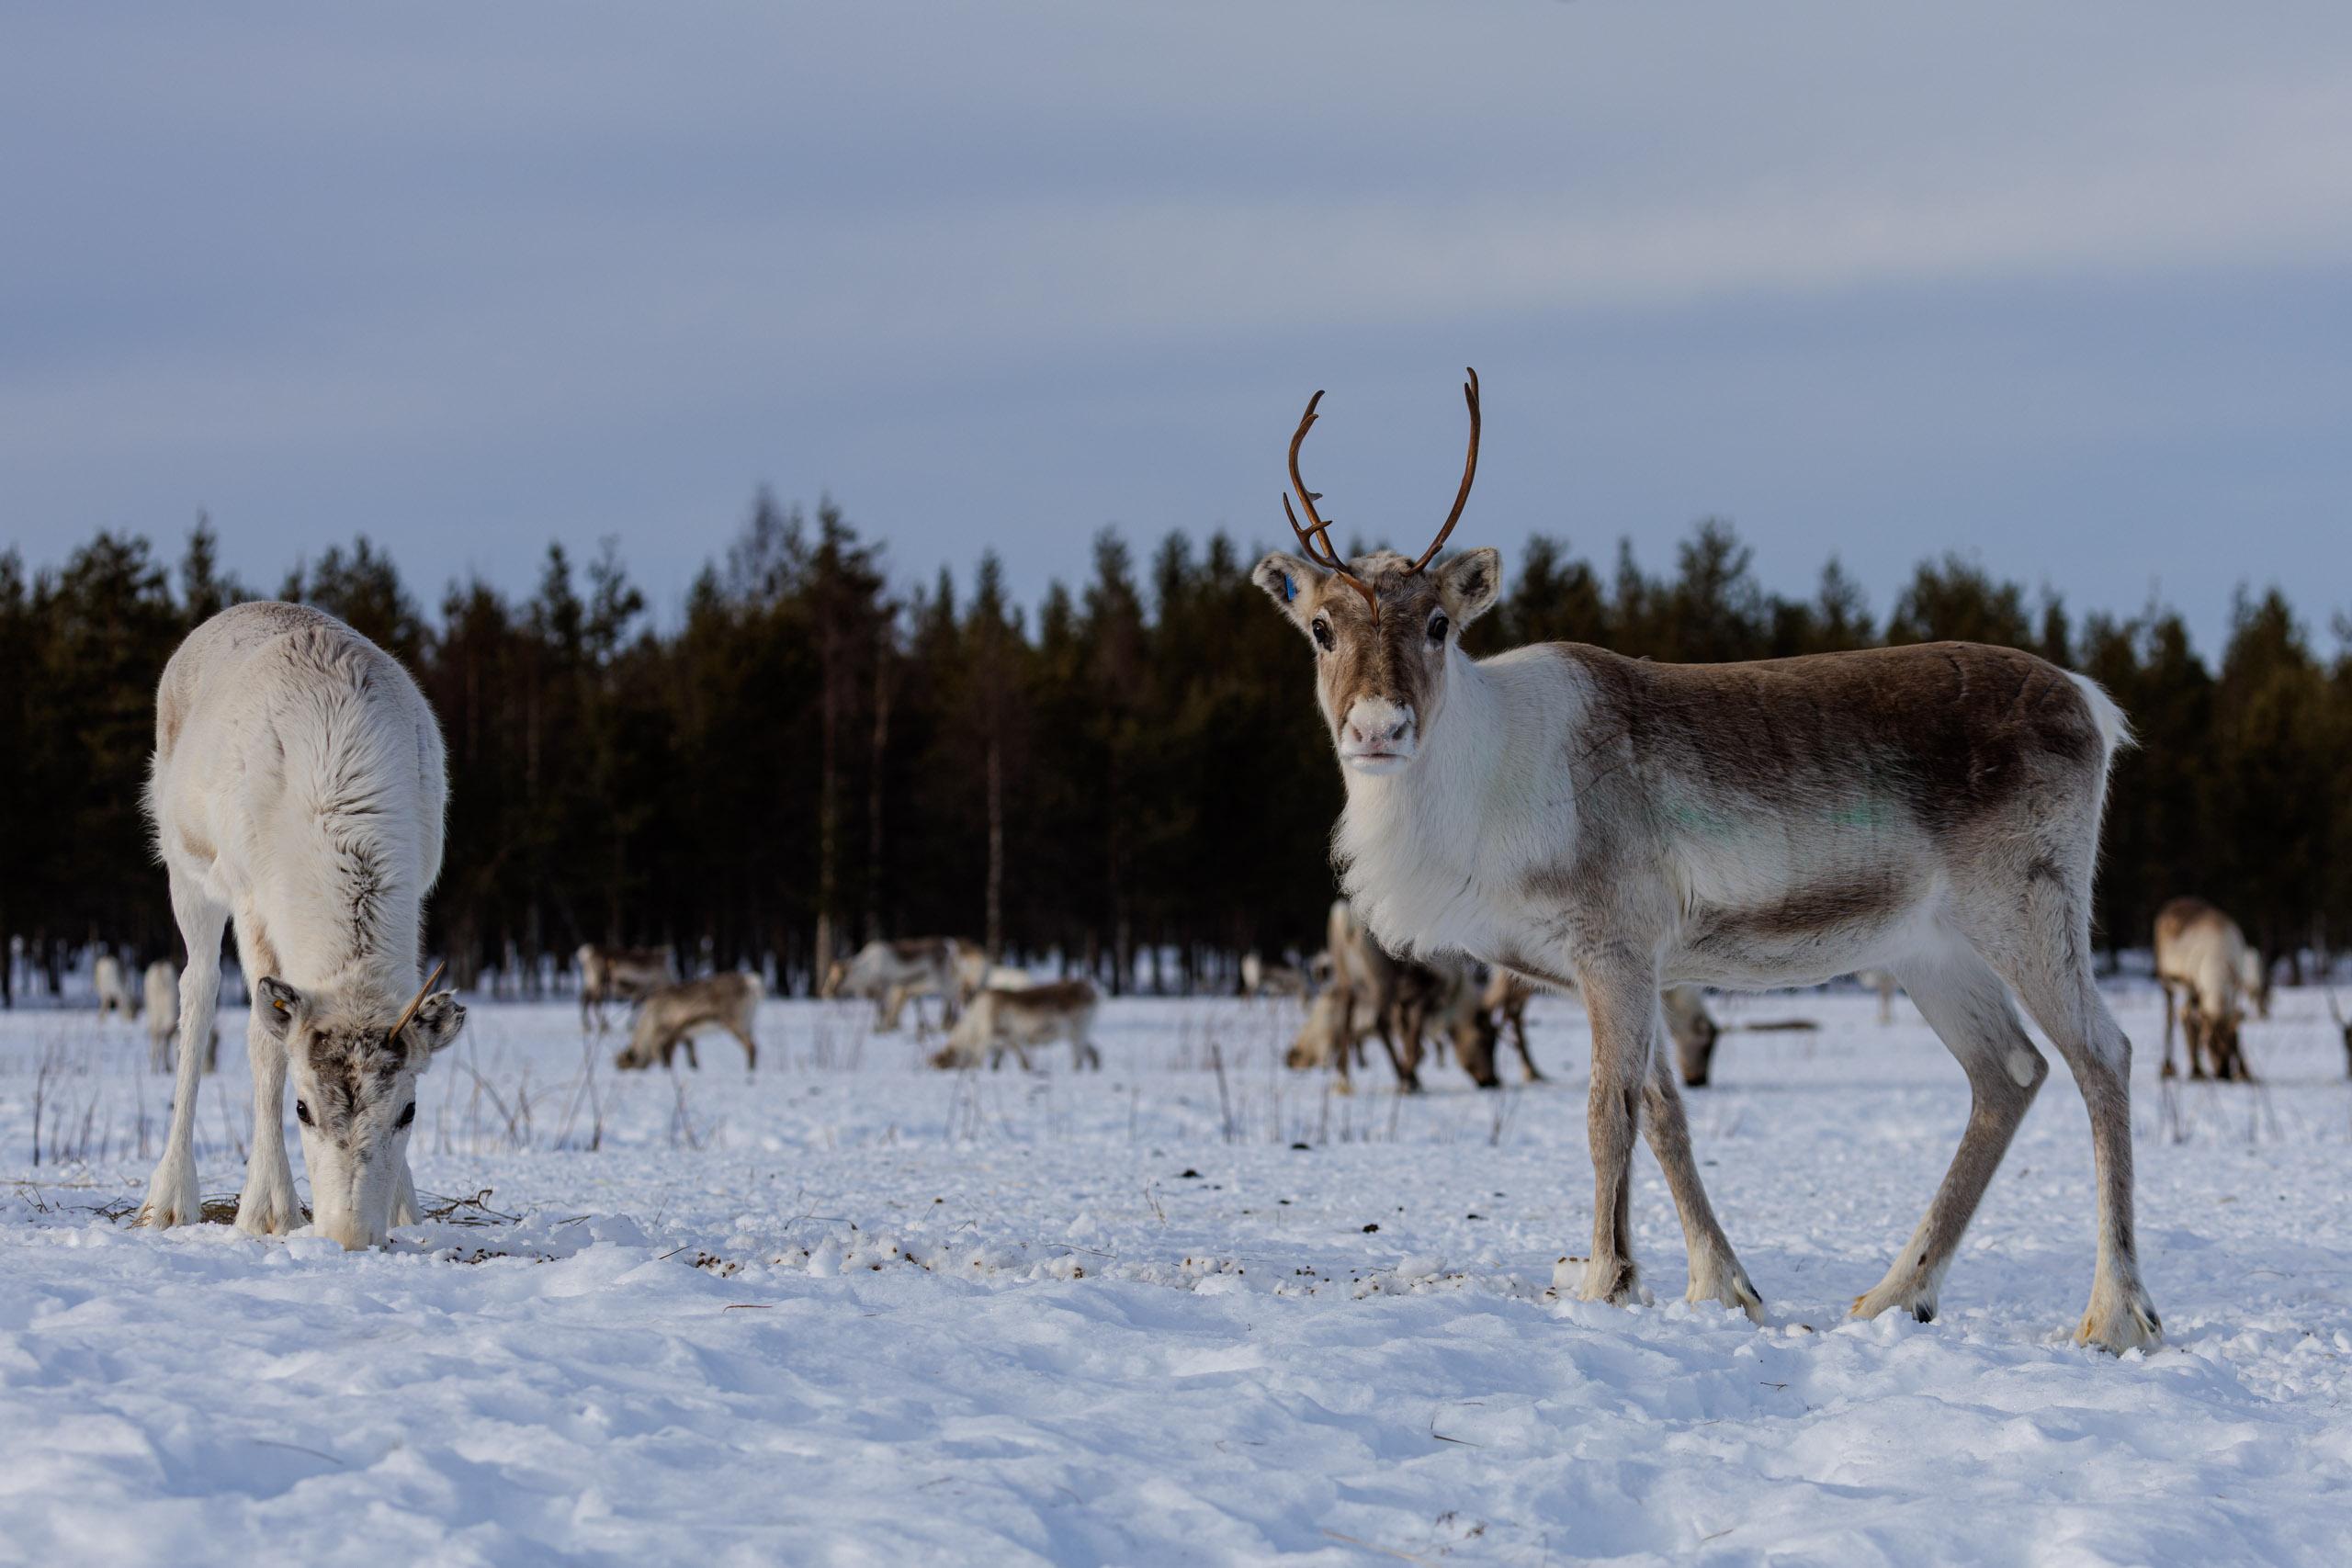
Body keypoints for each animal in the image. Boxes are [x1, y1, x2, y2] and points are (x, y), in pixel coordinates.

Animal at [137, 602, 465, 1250]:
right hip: (188, 874)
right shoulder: (252, 901)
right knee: (197, 995)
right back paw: (169, 1198)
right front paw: (268, 1211)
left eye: (409, 1112)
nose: (349, 1236)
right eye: (303, 1110)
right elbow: (265, 1047)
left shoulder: (420, 885)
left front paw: (406, 1208)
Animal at [613, 972, 761, 1070]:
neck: (650, 1021)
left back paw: (749, 1071)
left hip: (735, 1023)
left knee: (751, 1046)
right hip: (749, 1023)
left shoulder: (667, 1033)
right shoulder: (686, 1035)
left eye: (625, 1066)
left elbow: (664, 1056)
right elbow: (692, 1058)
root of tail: (752, 982)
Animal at [930, 979, 1101, 1071]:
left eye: (943, 1064)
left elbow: (981, 1060)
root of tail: (1092, 991)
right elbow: (1003, 1060)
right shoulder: (1005, 1040)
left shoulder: (997, 1038)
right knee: (1094, 1053)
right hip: (1078, 1033)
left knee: (1079, 1058)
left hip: (1079, 1031)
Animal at [1250, 369, 2158, 1353]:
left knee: (2101, 1055)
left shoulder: (1613, 944)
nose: (1379, 727)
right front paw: (1720, 1285)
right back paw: (1893, 1294)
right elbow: (1664, 1115)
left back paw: (2115, 1314)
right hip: (1931, 949)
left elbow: (1607, 1112)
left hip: (2027, 905)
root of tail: (2094, 703)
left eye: (1440, 623)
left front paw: (1606, 1280)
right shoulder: (1634, 966)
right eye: (1320, 627)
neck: (1476, 788)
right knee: (2009, 1073)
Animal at [2152, 897, 2258, 1082]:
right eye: (2208, 1043)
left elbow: (2236, 1024)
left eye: (2231, 1042)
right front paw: (2196, 1070)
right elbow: (2187, 1018)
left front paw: (2245, 1072)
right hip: (2166, 980)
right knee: (2171, 1017)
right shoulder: (2191, 984)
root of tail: (2172, 904)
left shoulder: (2236, 987)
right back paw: (2168, 1067)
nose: (2223, 1073)